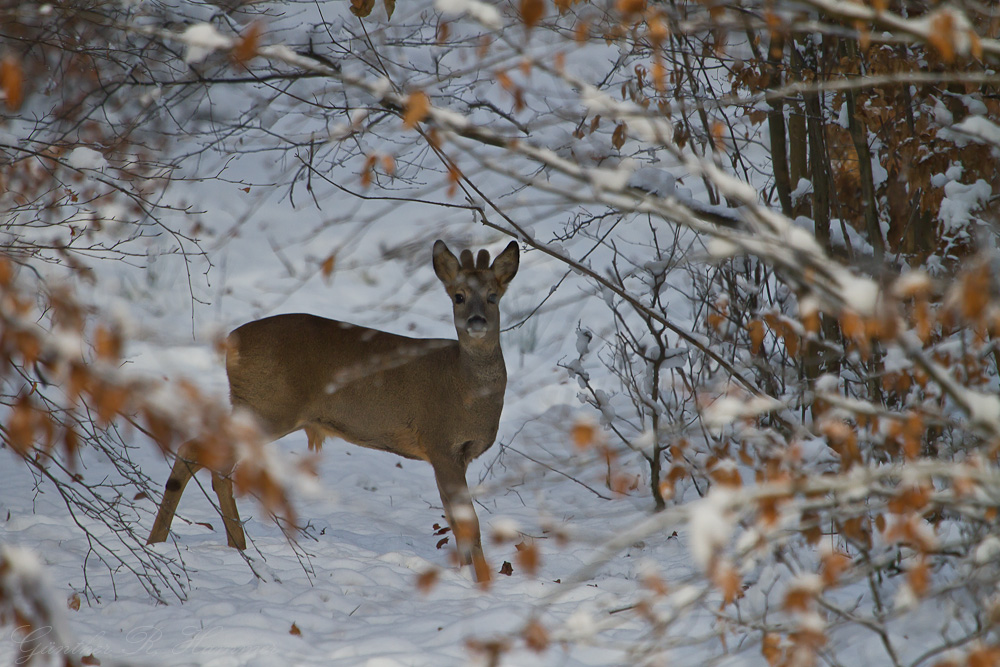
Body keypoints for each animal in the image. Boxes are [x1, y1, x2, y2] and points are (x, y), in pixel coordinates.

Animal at [148, 241, 524, 584]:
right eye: (458, 296)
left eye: (493, 296)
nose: (477, 321)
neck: (464, 386)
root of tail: (230, 342)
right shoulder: (440, 443)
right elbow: (469, 523)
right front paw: (482, 583)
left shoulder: (455, 455)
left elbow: (456, 521)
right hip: (265, 407)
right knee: (200, 453)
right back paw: (183, 544)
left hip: (252, 407)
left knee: (210, 460)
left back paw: (219, 546)